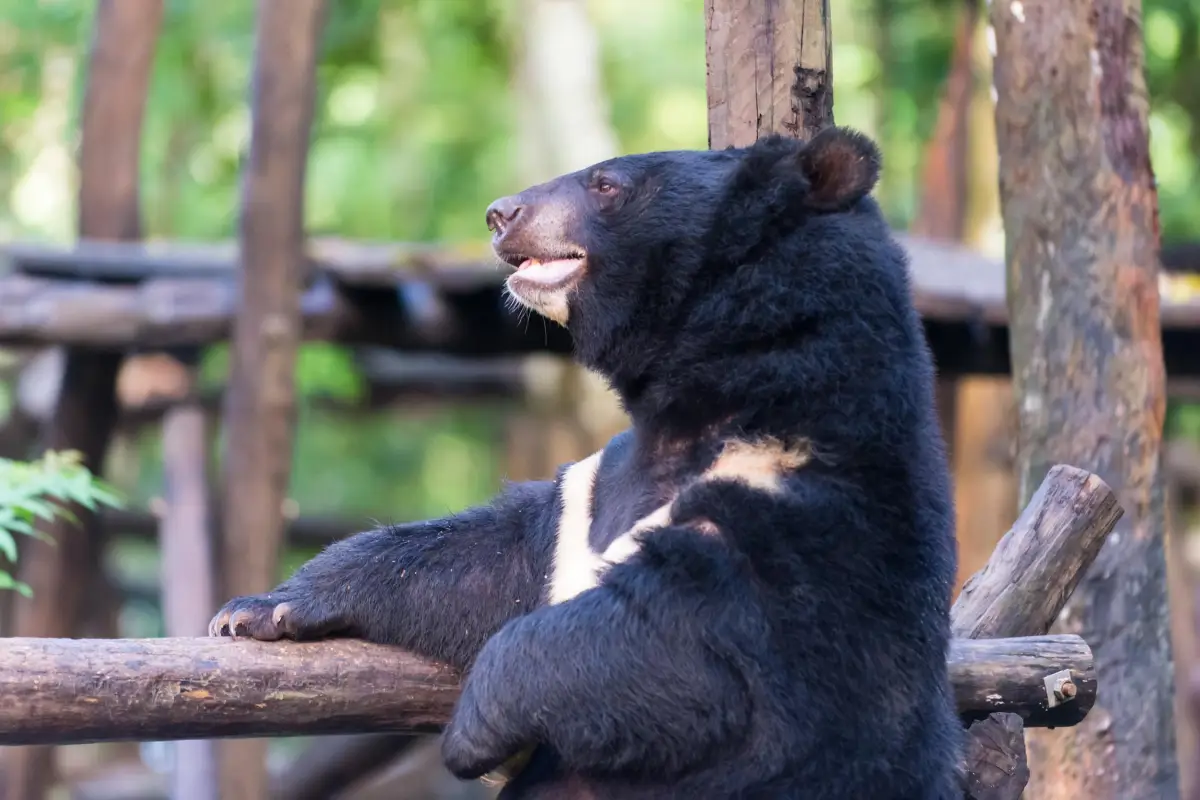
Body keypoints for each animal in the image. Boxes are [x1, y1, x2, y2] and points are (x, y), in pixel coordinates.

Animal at [209, 126, 963, 799]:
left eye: (607, 184)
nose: (500, 213)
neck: (707, 399)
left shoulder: (810, 501)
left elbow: (684, 641)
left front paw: (476, 730)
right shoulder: (588, 490)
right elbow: (483, 564)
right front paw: (255, 612)